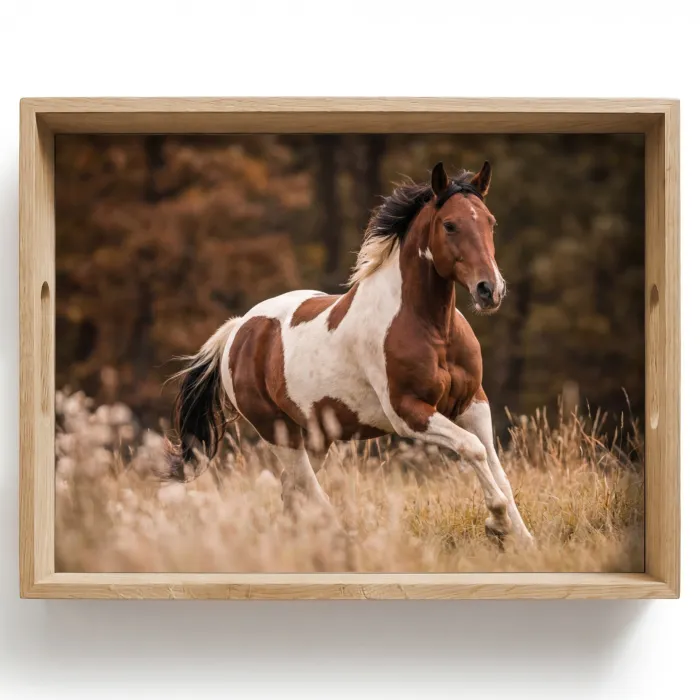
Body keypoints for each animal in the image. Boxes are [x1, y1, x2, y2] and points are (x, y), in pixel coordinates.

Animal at [166, 161, 534, 545]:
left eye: (490, 221)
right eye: (450, 224)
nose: (489, 290)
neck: (432, 328)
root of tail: (238, 329)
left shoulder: (472, 403)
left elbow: (496, 467)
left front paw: (523, 540)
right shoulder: (409, 413)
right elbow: (472, 448)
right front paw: (497, 523)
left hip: (316, 436)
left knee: (292, 491)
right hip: (279, 432)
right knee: (308, 491)